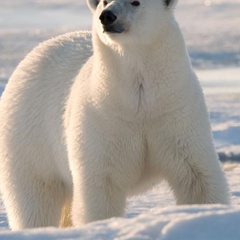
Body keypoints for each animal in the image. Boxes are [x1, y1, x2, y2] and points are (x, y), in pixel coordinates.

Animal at [0, 0, 229, 230]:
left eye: (135, 2)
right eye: (104, 1)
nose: (107, 16)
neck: (139, 103)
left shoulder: (176, 111)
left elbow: (196, 174)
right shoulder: (103, 120)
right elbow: (102, 185)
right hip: (29, 139)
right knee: (35, 200)